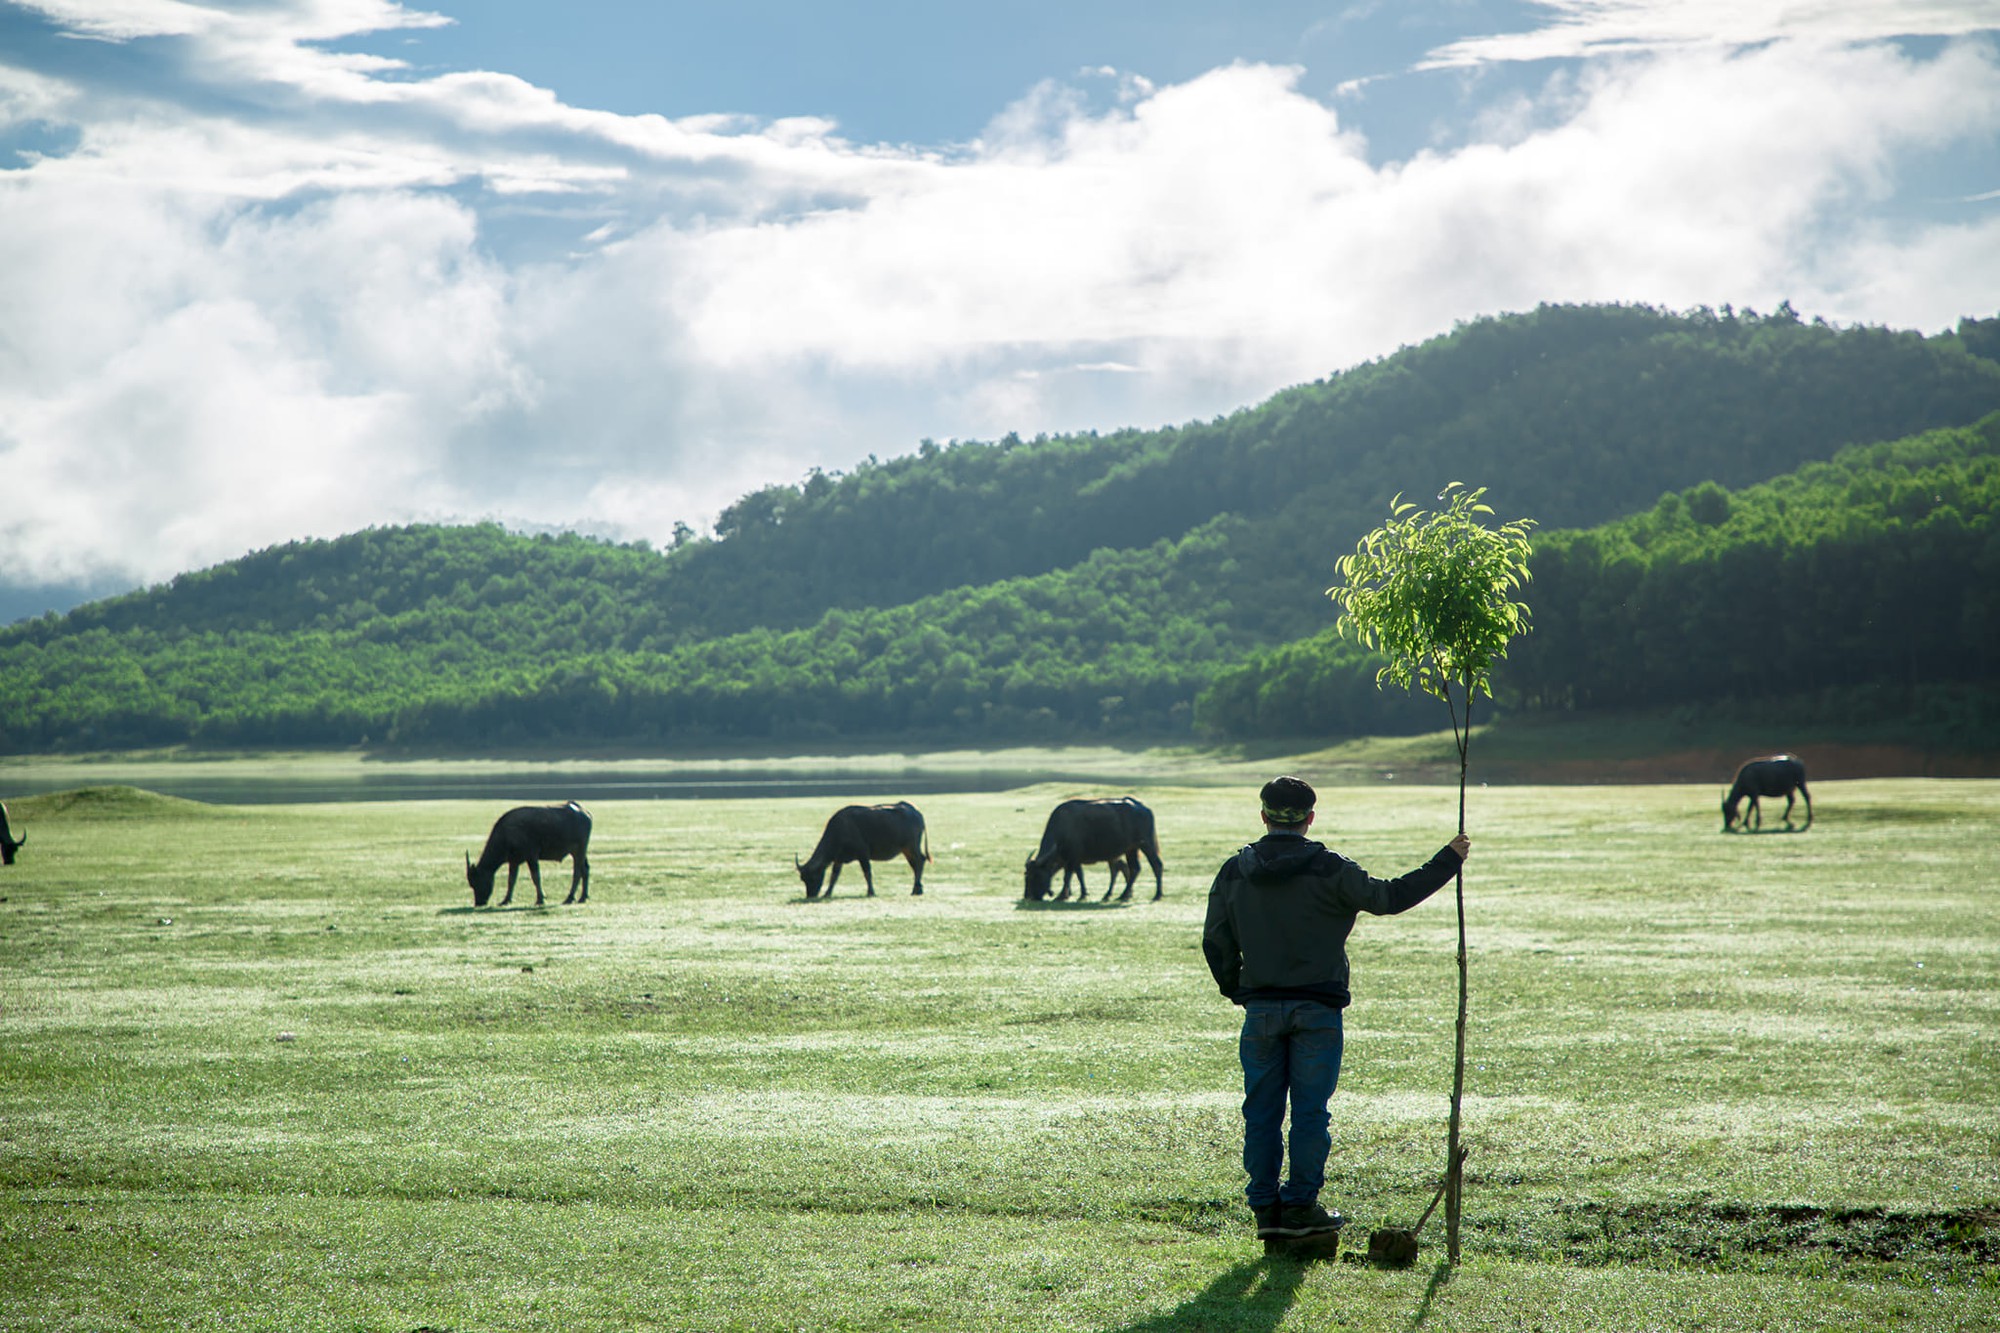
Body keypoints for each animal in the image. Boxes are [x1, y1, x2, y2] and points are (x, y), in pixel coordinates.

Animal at [788, 792, 928, 896]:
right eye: (803, 879)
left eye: (812, 877)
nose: (810, 895)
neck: (840, 830)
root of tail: (916, 812)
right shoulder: (839, 858)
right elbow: (834, 876)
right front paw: (827, 893)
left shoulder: (863, 854)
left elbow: (867, 873)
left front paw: (871, 892)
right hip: (906, 849)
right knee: (915, 864)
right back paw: (918, 889)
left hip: (912, 846)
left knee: (920, 861)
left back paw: (916, 889)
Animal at [1024, 788, 1168, 904]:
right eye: (1026, 874)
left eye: (1035, 875)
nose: (1028, 896)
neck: (1062, 830)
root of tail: (1143, 808)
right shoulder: (1073, 860)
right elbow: (1079, 875)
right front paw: (1080, 894)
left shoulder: (1072, 858)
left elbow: (1068, 876)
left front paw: (1062, 896)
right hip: (1131, 849)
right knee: (1134, 869)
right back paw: (1122, 895)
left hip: (1147, 844)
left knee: (1156, 865)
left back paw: (1157, 895)